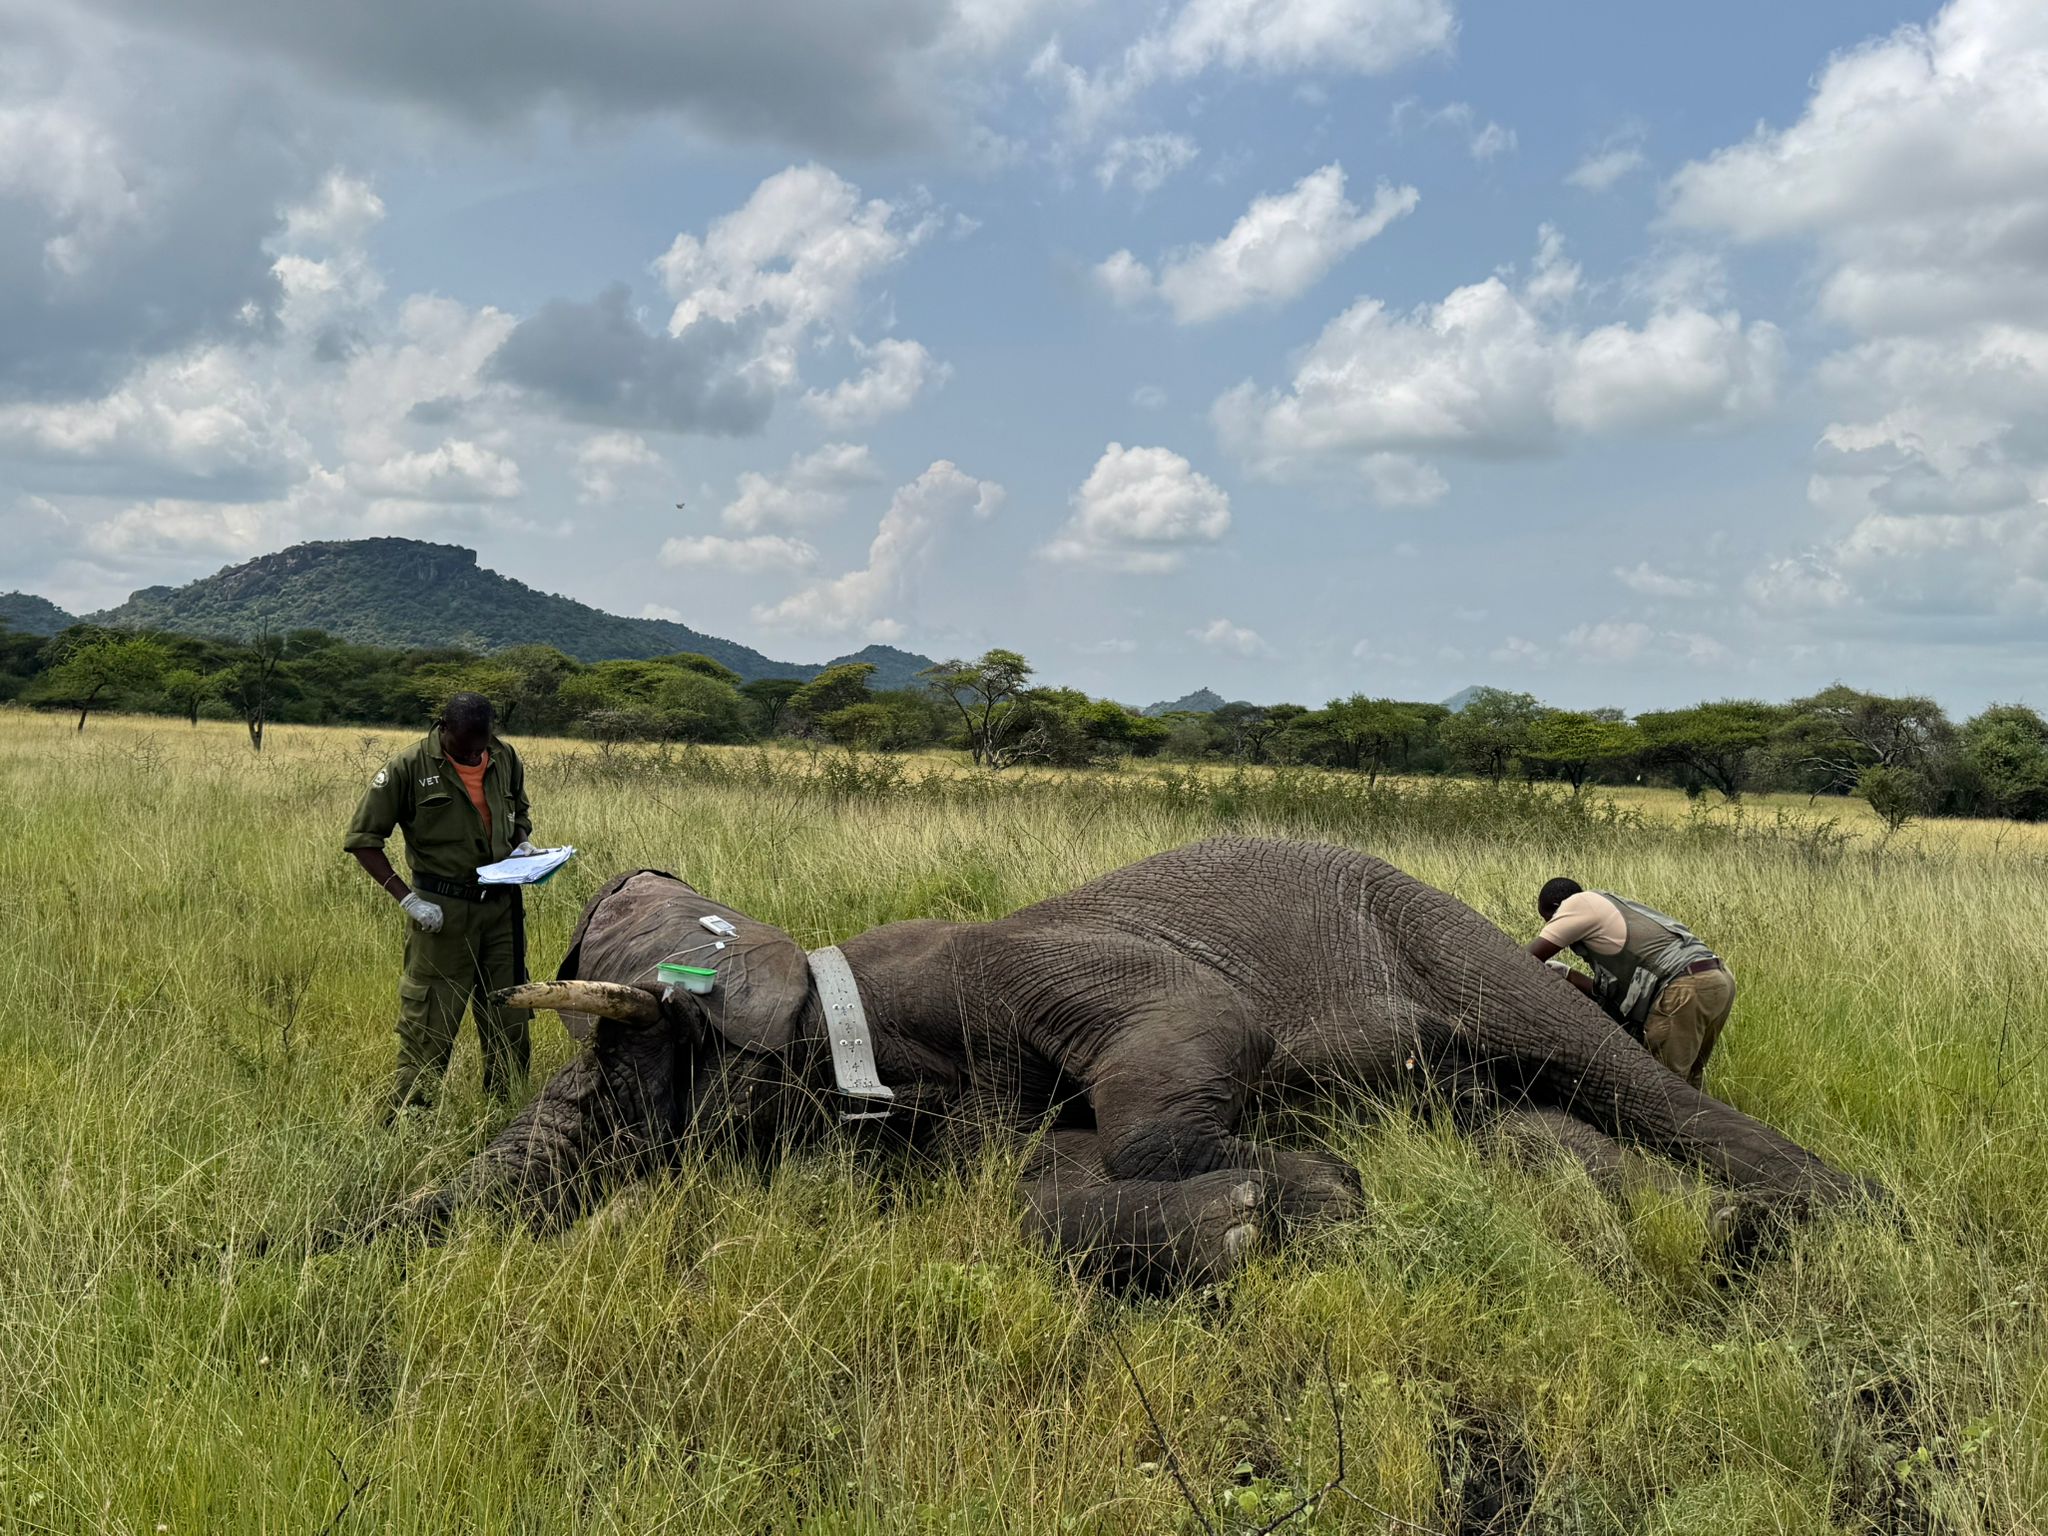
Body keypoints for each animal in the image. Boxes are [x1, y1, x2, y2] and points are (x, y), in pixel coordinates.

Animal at [404, 836, 1878, 1288]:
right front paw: (1276, 1208)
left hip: (1454, 938)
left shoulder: (1033, 964)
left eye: (623, 1079)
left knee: (1615, 1076)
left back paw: (1830, 1220)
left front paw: (1308, 1186)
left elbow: (1188, 1046)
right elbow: (1032, 1193)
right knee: (1527, 1126)